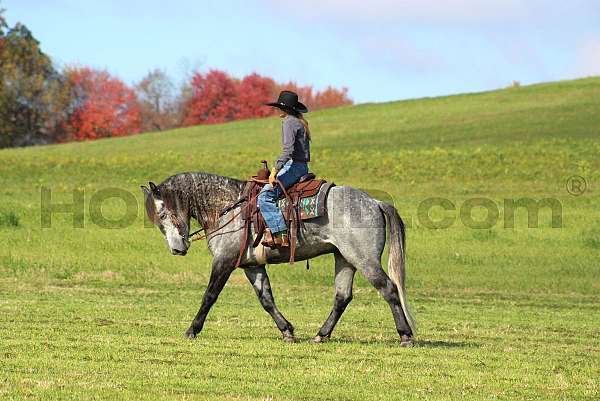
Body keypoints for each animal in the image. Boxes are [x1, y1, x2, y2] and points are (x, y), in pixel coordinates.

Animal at [142, 171, 414, 344]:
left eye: (163, 213)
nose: (177, 249)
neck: (228, 206)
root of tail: (375, 202)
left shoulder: (224, 261)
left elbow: (209, 296)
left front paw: (192, 329)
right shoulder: (252, 266)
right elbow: (266, 300)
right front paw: (287, 331)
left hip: (364, 259)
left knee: (388, 289)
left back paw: (405, 335)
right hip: (345, 259)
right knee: (342, 297)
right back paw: (321, 335)